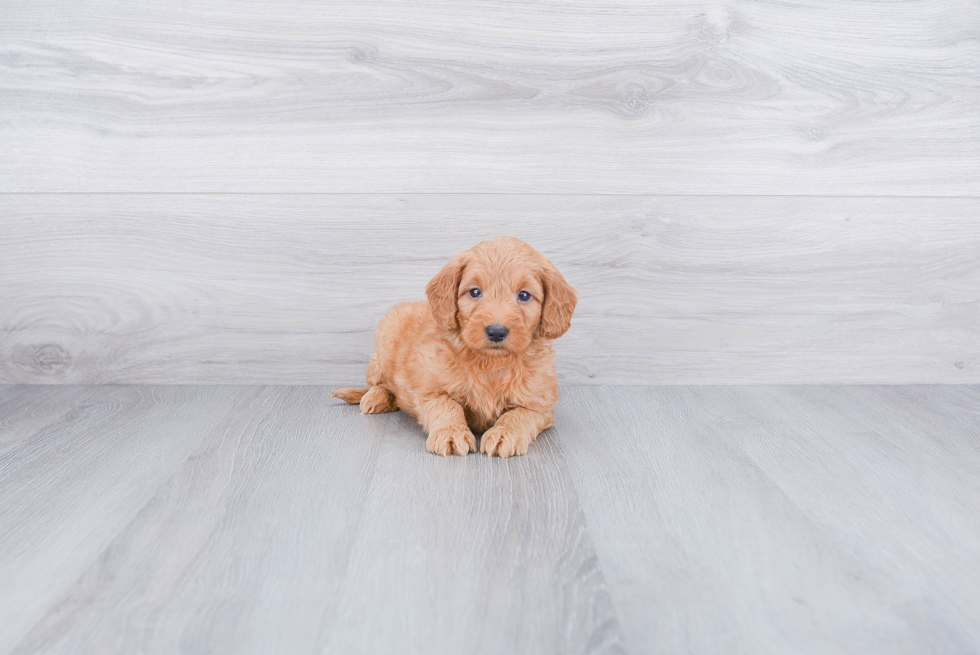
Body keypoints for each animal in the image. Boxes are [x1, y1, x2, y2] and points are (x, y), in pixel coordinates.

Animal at [334, 238, 576, 458]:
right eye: (475, 292)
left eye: (524, 295)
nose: (496, 332)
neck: (490, 362)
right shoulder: (430, 391)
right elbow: (447, 406)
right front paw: (451, 433)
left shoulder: (540, 404)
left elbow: (519, 415)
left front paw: (505, 433)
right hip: (383, 347)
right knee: (380, 384)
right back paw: (376, 398)